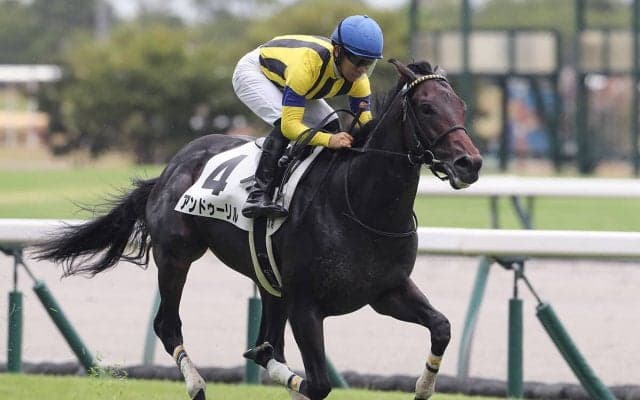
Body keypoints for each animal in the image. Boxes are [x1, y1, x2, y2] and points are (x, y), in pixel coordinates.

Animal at [33, 59, 482, 400]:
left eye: (460, 105)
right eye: (426, 108)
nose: (470, 164)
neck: (361, 204)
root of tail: (170, 167)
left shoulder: (386, 291)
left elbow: (441, 327)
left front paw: (423, 387)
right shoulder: (306, 306)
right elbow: (315, 383)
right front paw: (272, 366)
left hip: (266, 277)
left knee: (268, 334)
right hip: (177, 255)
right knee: (167, 325)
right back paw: (198, 385)